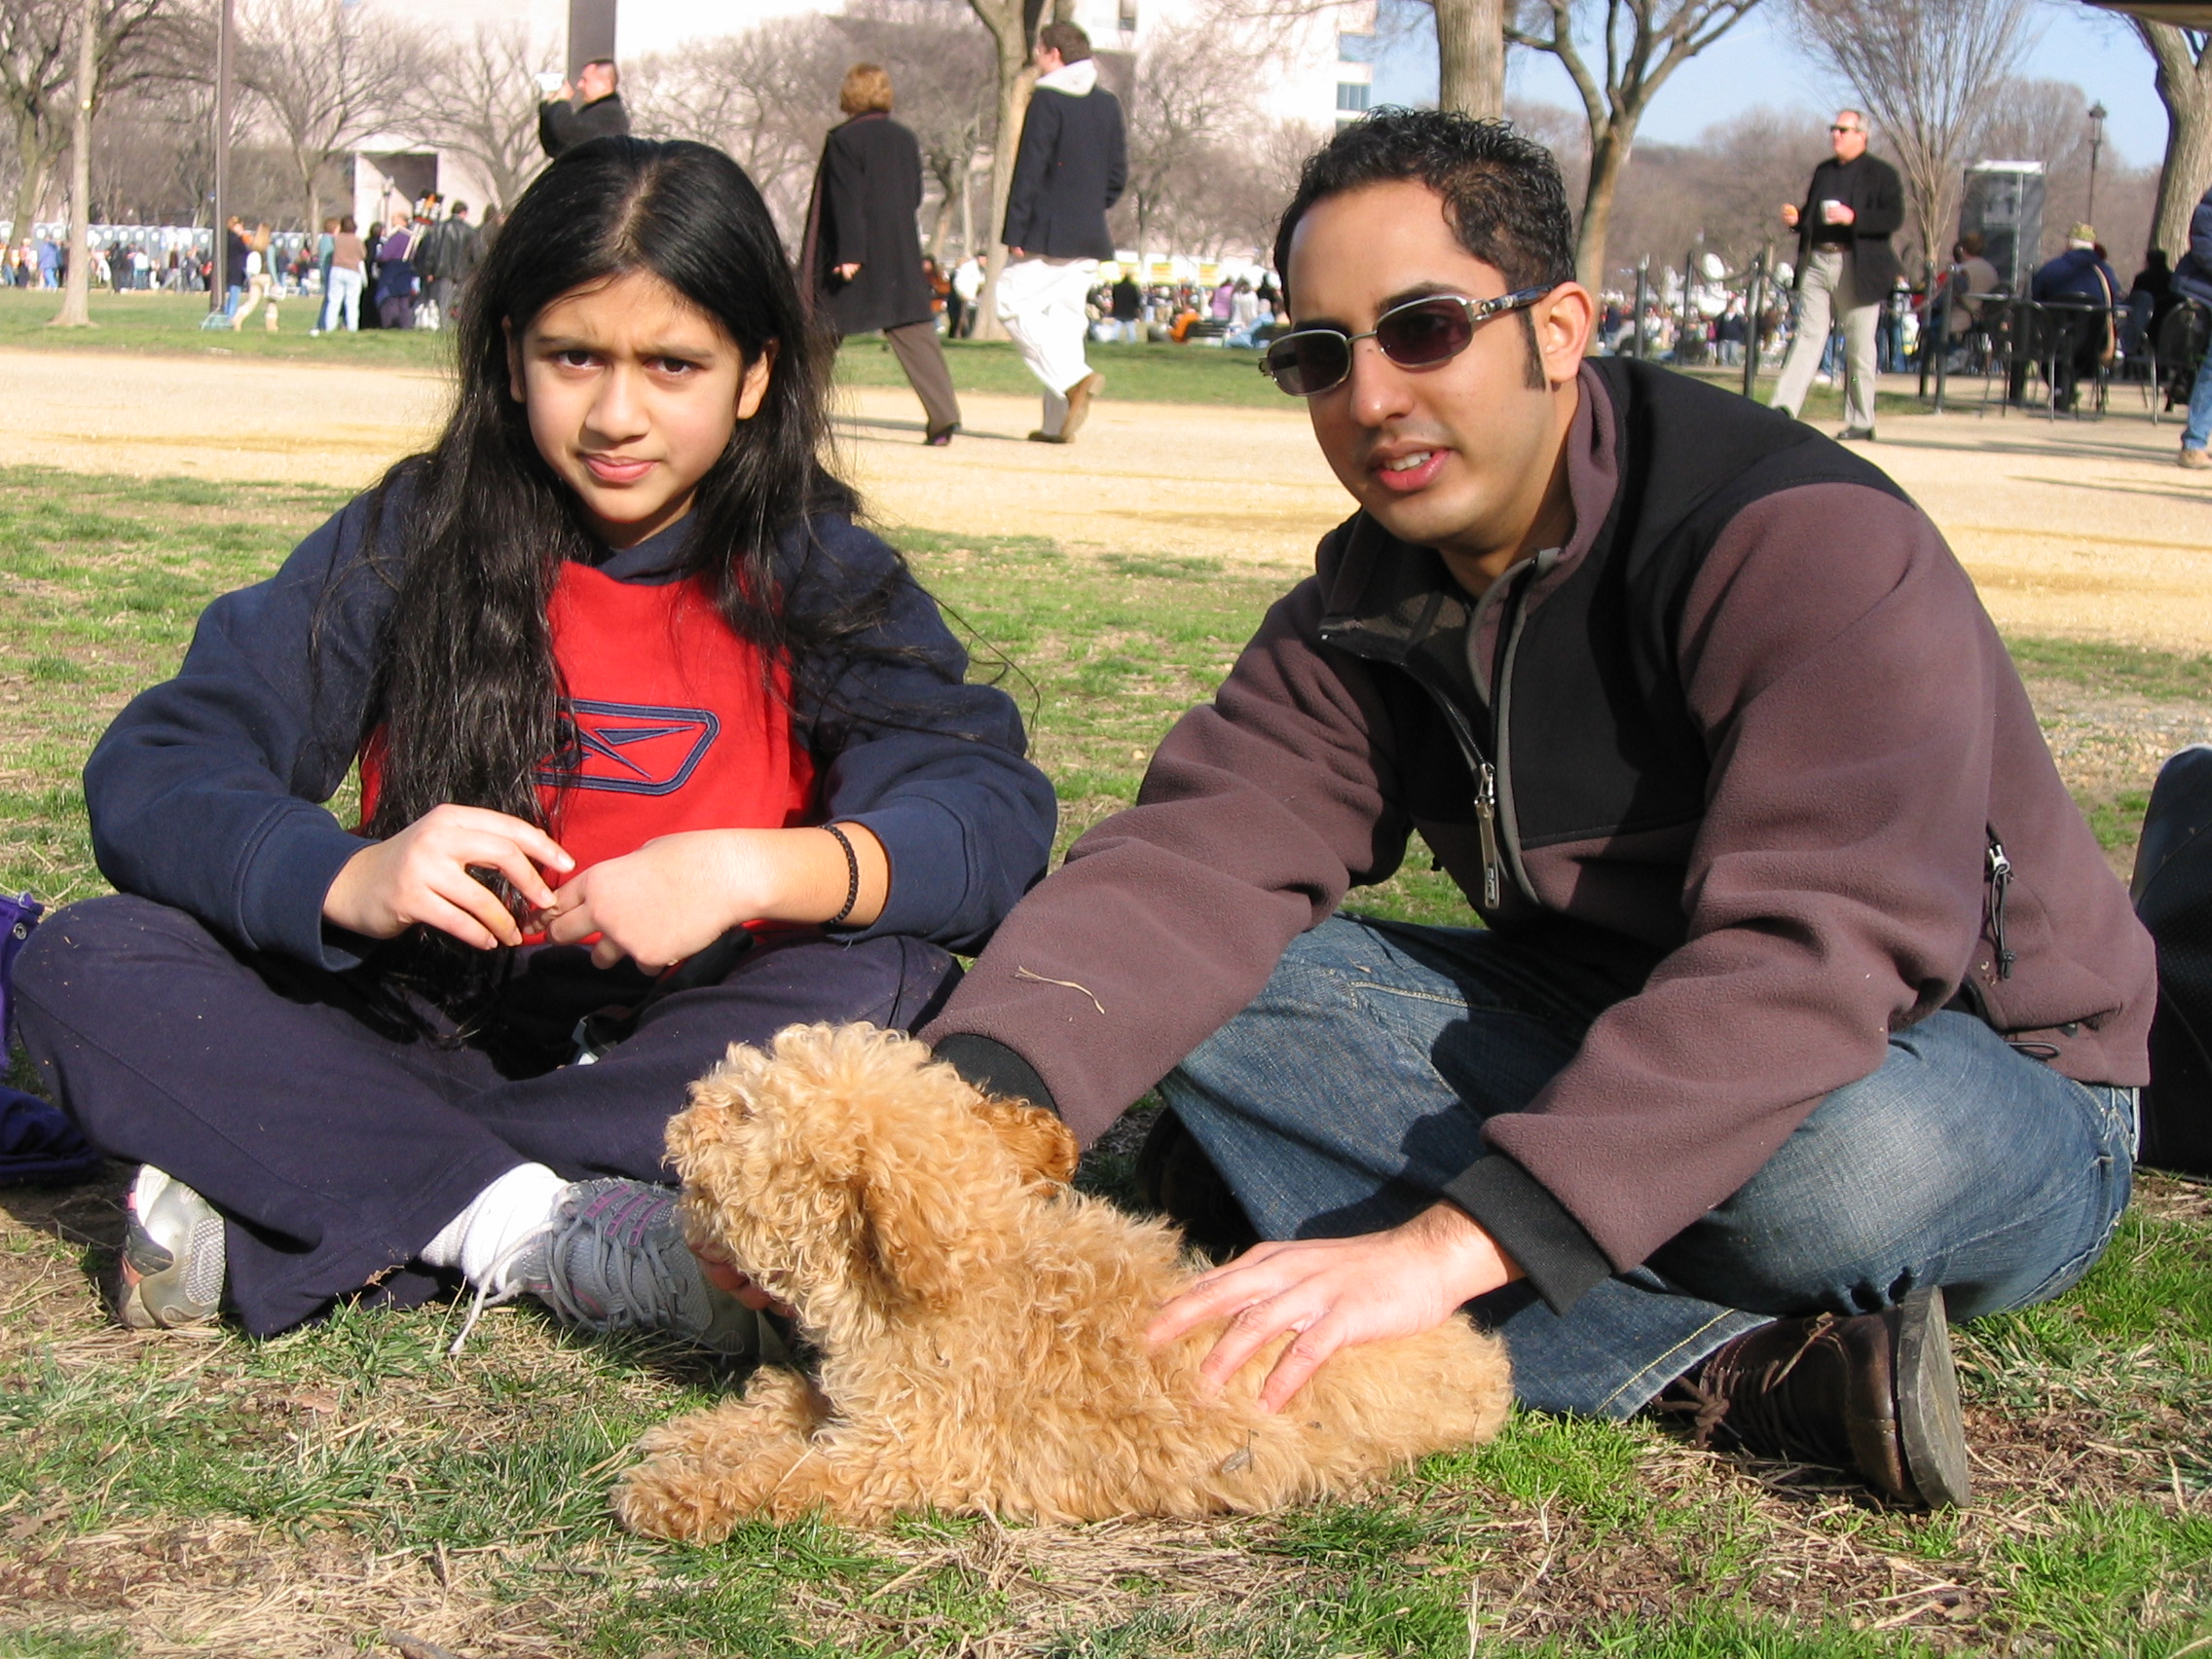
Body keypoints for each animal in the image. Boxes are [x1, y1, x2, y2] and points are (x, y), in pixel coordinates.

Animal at [613, 1023, 1513, 1536]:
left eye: (742, 1114)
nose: (681, 1115)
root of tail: (1484, 1359)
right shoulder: (868, 1406)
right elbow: (795, 1407)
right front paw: (709, 1435)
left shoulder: (910, 1455)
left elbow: (793, 1474)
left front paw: (677, 1491)